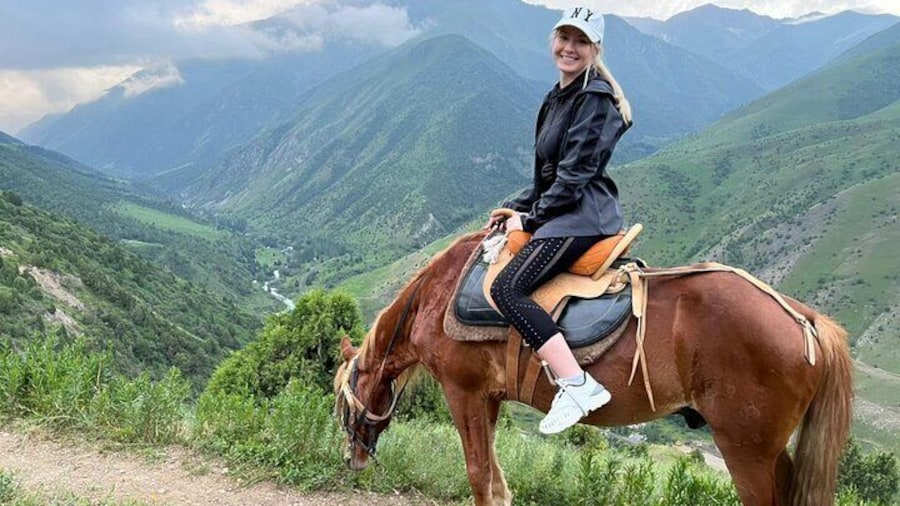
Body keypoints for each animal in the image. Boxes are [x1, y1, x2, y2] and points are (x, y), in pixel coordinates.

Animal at [334, 232, 853, 506]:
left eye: (341, 402)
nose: (352, 458)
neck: (437, 296)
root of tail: (803, 317)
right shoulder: (490, 398)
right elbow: (497, 478)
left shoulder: (463, 391)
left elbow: (479, 474)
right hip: (768, 450)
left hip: (746, 450)